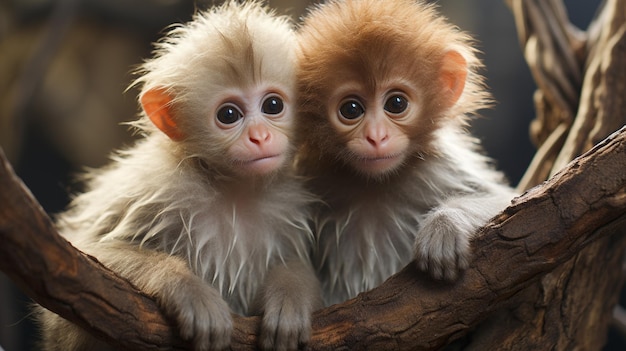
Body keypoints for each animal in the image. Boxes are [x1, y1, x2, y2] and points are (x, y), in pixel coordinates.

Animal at [37, 1, 322, 350]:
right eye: (229, 114)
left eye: (272, 105)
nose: (260, 137)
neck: (233, 189)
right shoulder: (155, 185)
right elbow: (87, 252)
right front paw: (187, 288)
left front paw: (290, 293)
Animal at [294, 0, 516, 308]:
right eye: (351, 109)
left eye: (396, 103)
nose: (377, 137)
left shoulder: (438, 167)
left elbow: (505, 198)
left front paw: (445, 226)